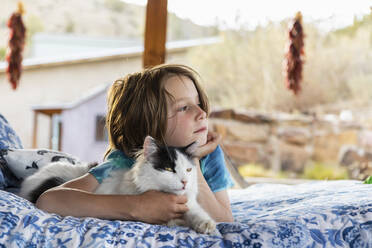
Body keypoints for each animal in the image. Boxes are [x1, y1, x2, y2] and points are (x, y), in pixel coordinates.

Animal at [18, 137, 217, 233]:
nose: (184, 181)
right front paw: (177, 222)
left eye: (189, 170)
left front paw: (206, 225)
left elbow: (198, 214)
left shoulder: (190, 204)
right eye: (169, 168)